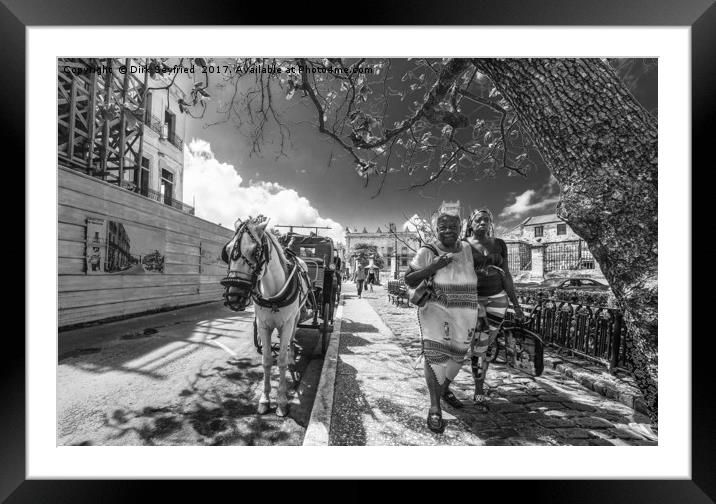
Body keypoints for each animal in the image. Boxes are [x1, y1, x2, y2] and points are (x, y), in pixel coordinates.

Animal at [221, 215, 310, 416]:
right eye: (227, 251)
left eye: (256, 251)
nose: (233, 297)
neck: (273, 294)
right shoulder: (263, 325)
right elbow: (267, 361)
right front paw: (265, 399)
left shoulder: (286, 323)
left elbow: (281, 361)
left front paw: (282, 401)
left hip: (296, 316)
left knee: (292, 337)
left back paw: (292, 356)